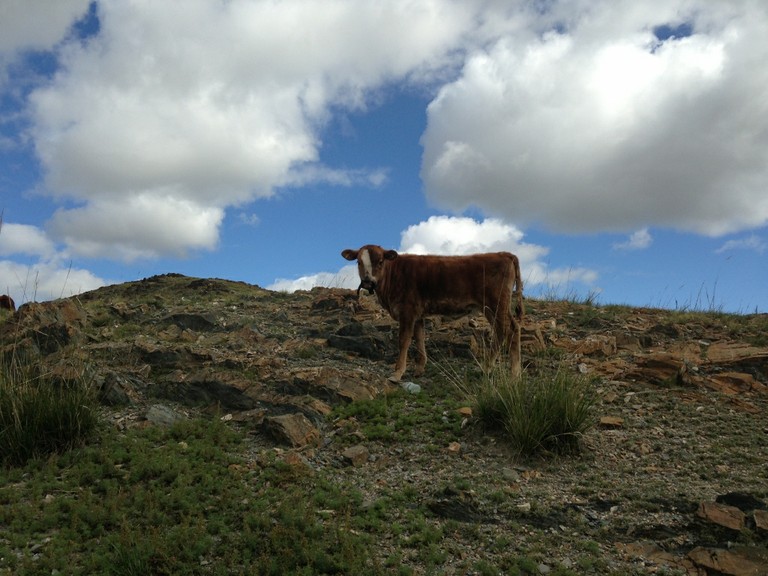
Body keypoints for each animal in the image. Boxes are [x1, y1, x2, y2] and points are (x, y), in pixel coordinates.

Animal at [341, 245, 523, 381]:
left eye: (380, 261)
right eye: (358, 262)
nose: (367, 282)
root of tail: (505, 254)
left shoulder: (407, 311)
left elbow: (404, 340)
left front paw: (397, 373)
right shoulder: (417, 314)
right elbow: (419, 338)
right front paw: (419, 368)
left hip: (497, 303)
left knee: (511, 330)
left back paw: (514, 374)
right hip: (490, 308)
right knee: (501, 332)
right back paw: (487, 368)